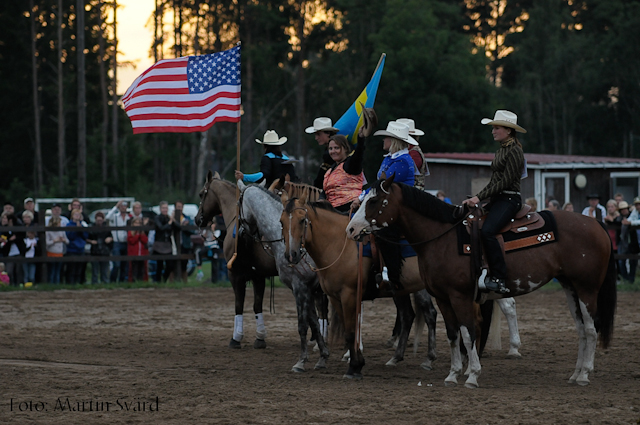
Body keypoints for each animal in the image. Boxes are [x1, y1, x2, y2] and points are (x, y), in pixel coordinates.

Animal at [348, 175, 616, 388]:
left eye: (373, 201)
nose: (350, 229)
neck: (443, 238)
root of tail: (596, 224)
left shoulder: (460, 295)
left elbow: (468, 333)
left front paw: (472, 375)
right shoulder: (443, 297)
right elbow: (453, 334)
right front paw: (453, 374)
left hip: (587, 289)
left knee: (591, 329)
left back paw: (584, 375)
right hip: (570, 287)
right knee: (581, 329)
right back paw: (575, 373)